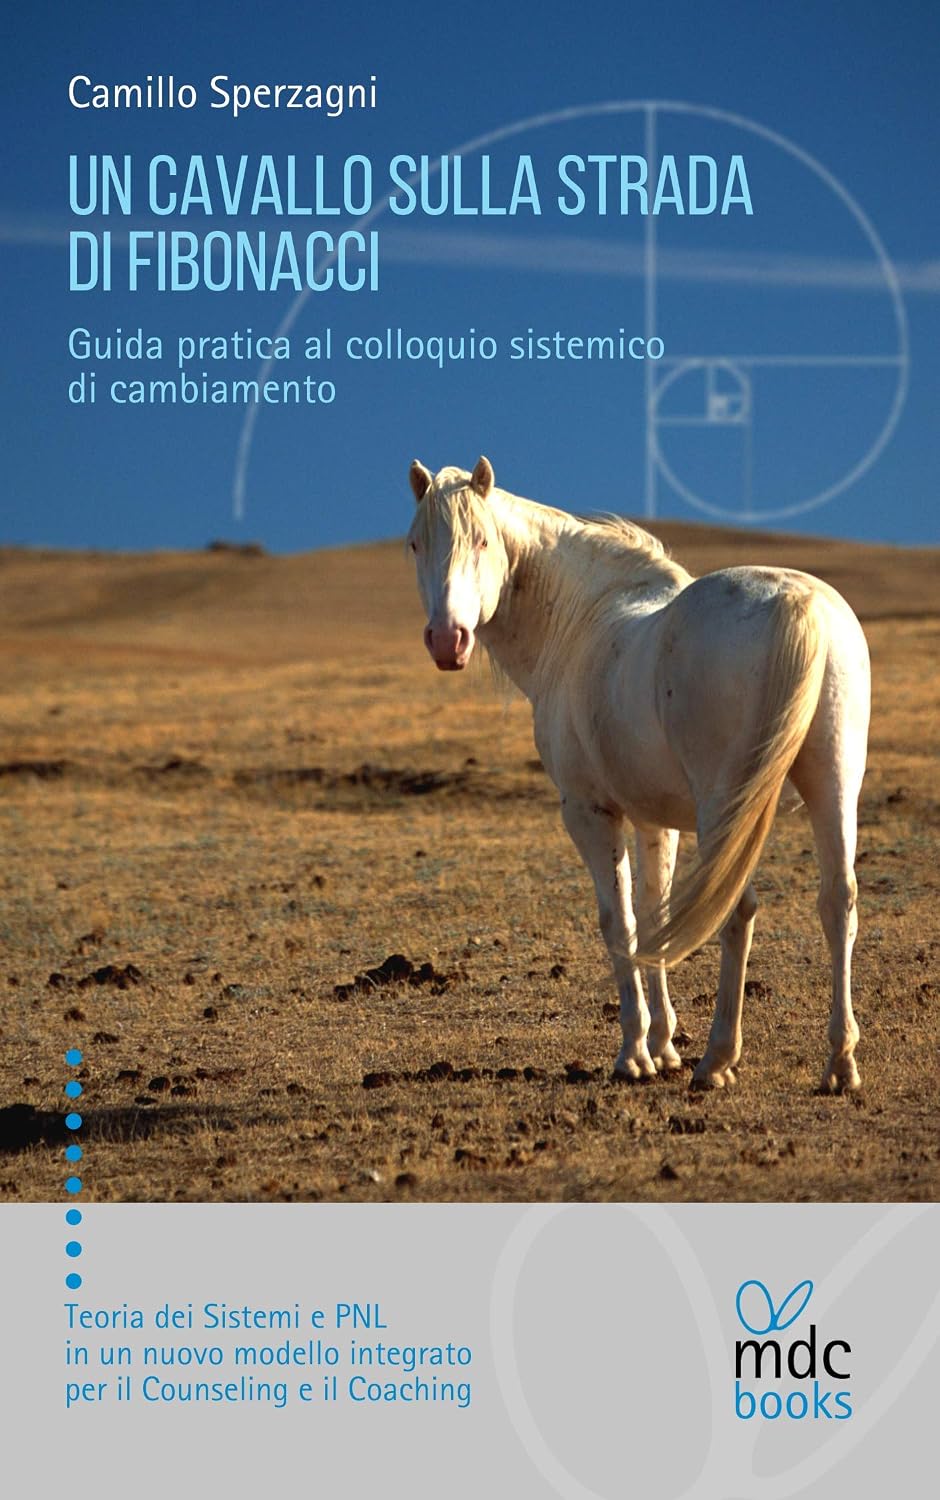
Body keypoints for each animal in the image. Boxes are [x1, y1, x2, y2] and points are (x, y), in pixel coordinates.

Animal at [406, 456, 871, 1093]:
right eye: (415, 544)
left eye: (481, 540)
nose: (446, 640)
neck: (580, 622)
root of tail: (797, 602)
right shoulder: (657, 821)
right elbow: (656, 910)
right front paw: (664, 1045)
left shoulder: (589, 813)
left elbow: (619, 921)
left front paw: (634, 1053)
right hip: (834, 785)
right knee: (837, 900)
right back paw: (839, 1063)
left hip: (726, 808)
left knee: (738, 908)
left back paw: (717, 1059)